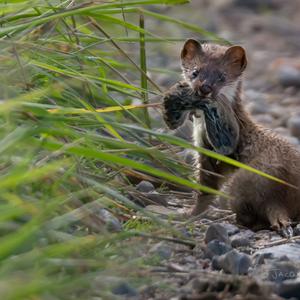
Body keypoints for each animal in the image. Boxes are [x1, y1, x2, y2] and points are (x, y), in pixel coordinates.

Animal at [163, 38, 300, 237]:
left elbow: (206, 187)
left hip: (240, 181)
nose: (205, 88)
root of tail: (277, 194)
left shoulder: (209, 152)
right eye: (195, 71)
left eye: (222, 76)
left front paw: (189, 212)